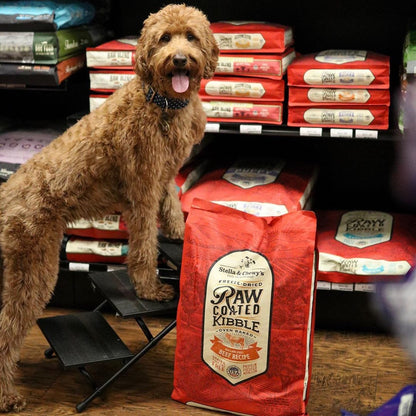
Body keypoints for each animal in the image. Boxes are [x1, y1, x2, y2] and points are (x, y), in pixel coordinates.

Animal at [0, 4, 219, 412]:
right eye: (165, 38)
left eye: (191, 36)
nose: (180, 59)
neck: (163, 102)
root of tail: (5, 198)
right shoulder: (143, 189)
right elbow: (145, 247)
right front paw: (149, 289)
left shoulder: (165, 174)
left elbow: (173, 205)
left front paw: (181, 233)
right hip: (33, 267)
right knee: (6, 329)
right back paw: (7, 396)